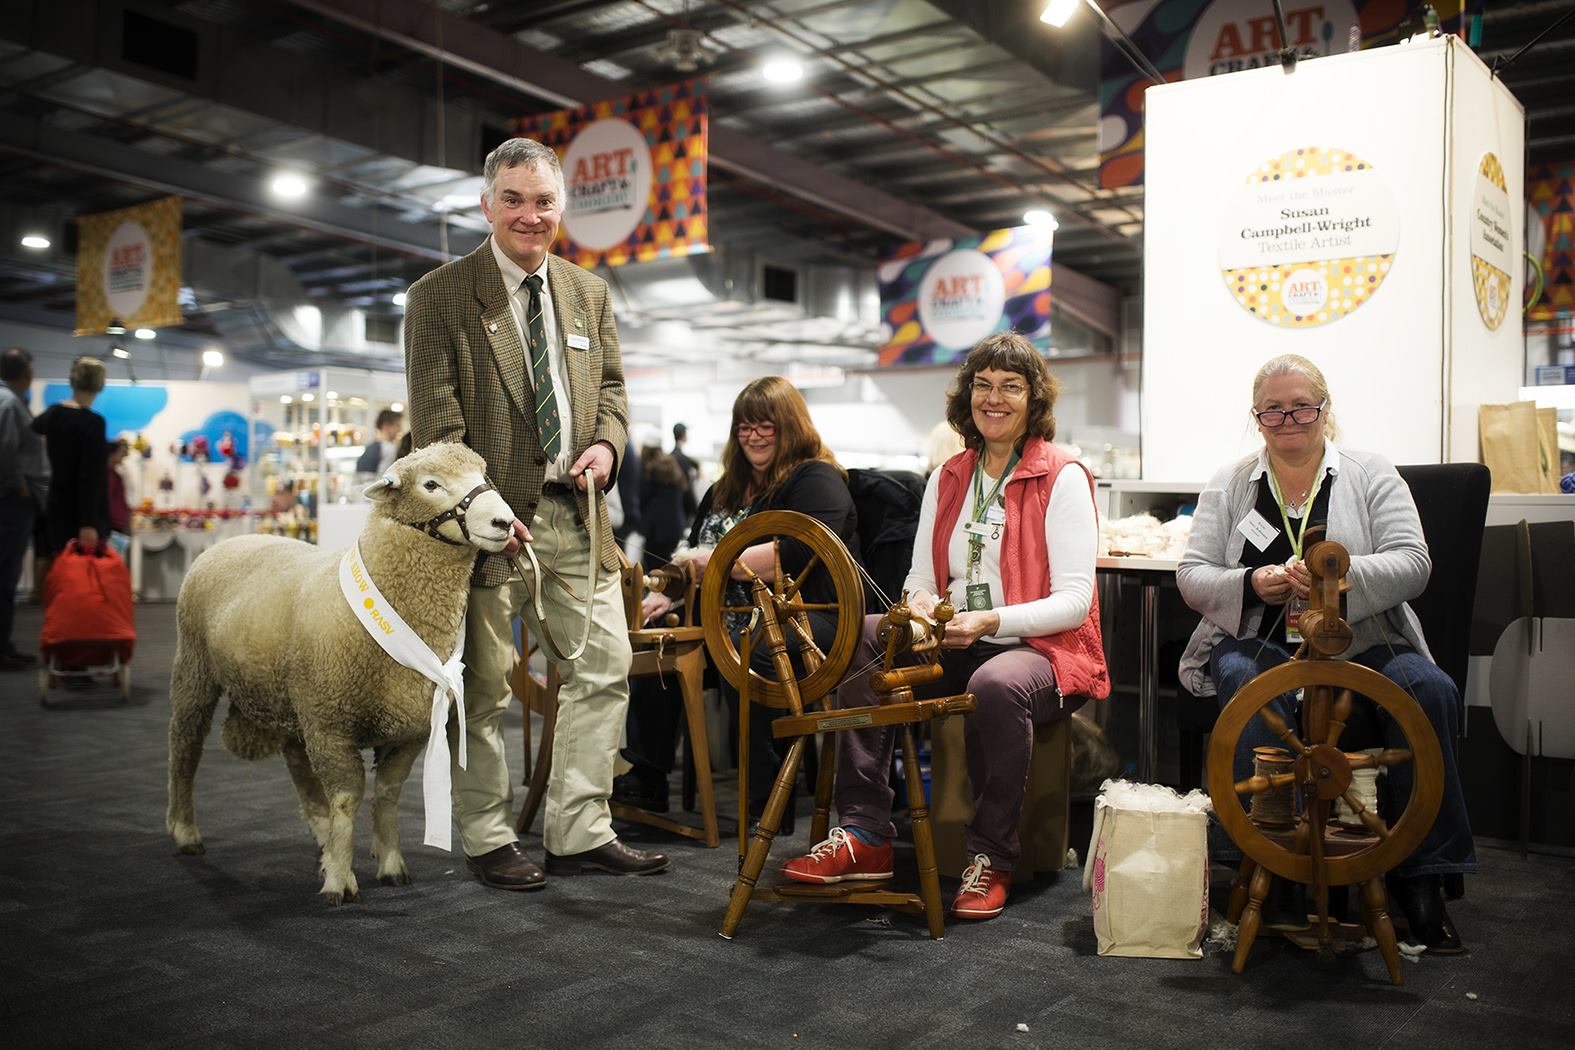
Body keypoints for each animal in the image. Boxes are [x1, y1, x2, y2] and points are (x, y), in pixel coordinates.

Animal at [170, 443, 519, 906]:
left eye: (483, 475)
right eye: (431, 484)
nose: (505, 523)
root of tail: (233, 539)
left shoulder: (408, 729)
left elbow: (387, 795)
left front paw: (389, 863)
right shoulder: (330, 725)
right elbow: (346, 798)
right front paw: (339, 878)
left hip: (293, 697)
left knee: (296, 760)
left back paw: (321, 836)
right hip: (195, 668)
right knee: (184, 746)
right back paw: (184, 830)